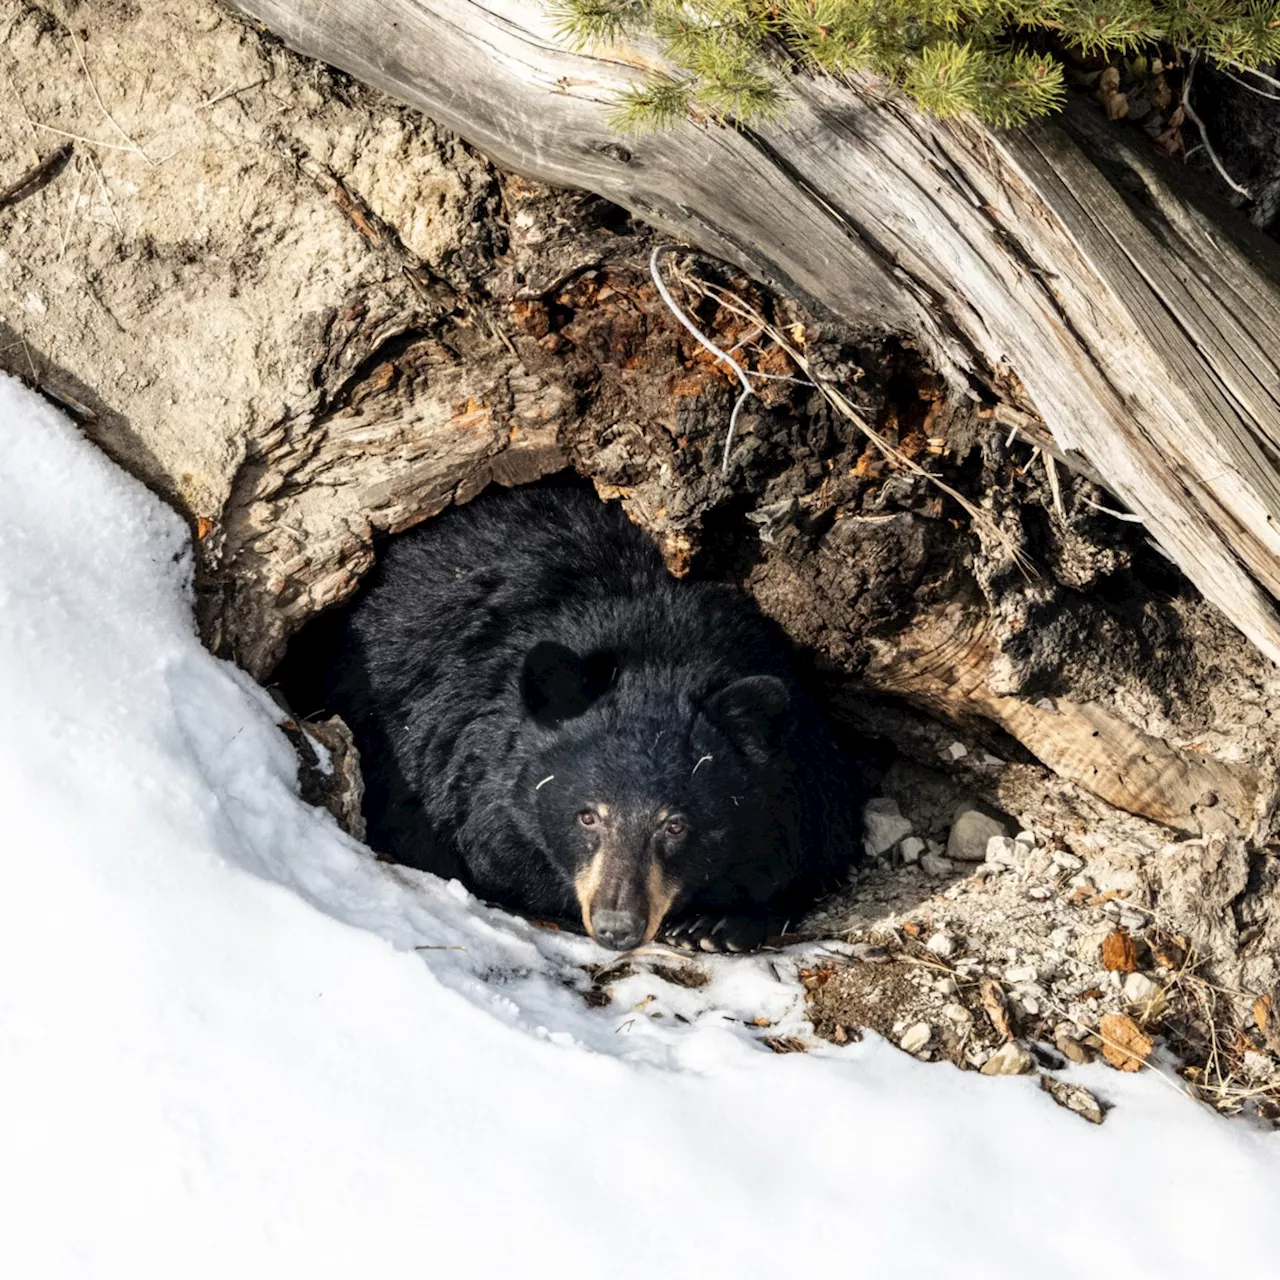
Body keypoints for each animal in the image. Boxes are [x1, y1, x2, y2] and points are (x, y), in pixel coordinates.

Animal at [320, 481, 860, 952]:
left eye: (675, 825)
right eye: (587, 816)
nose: (617, 927)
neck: (658, 648)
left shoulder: (803, 766)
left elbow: (807, 850)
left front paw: (717, 924)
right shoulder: (445, 751)